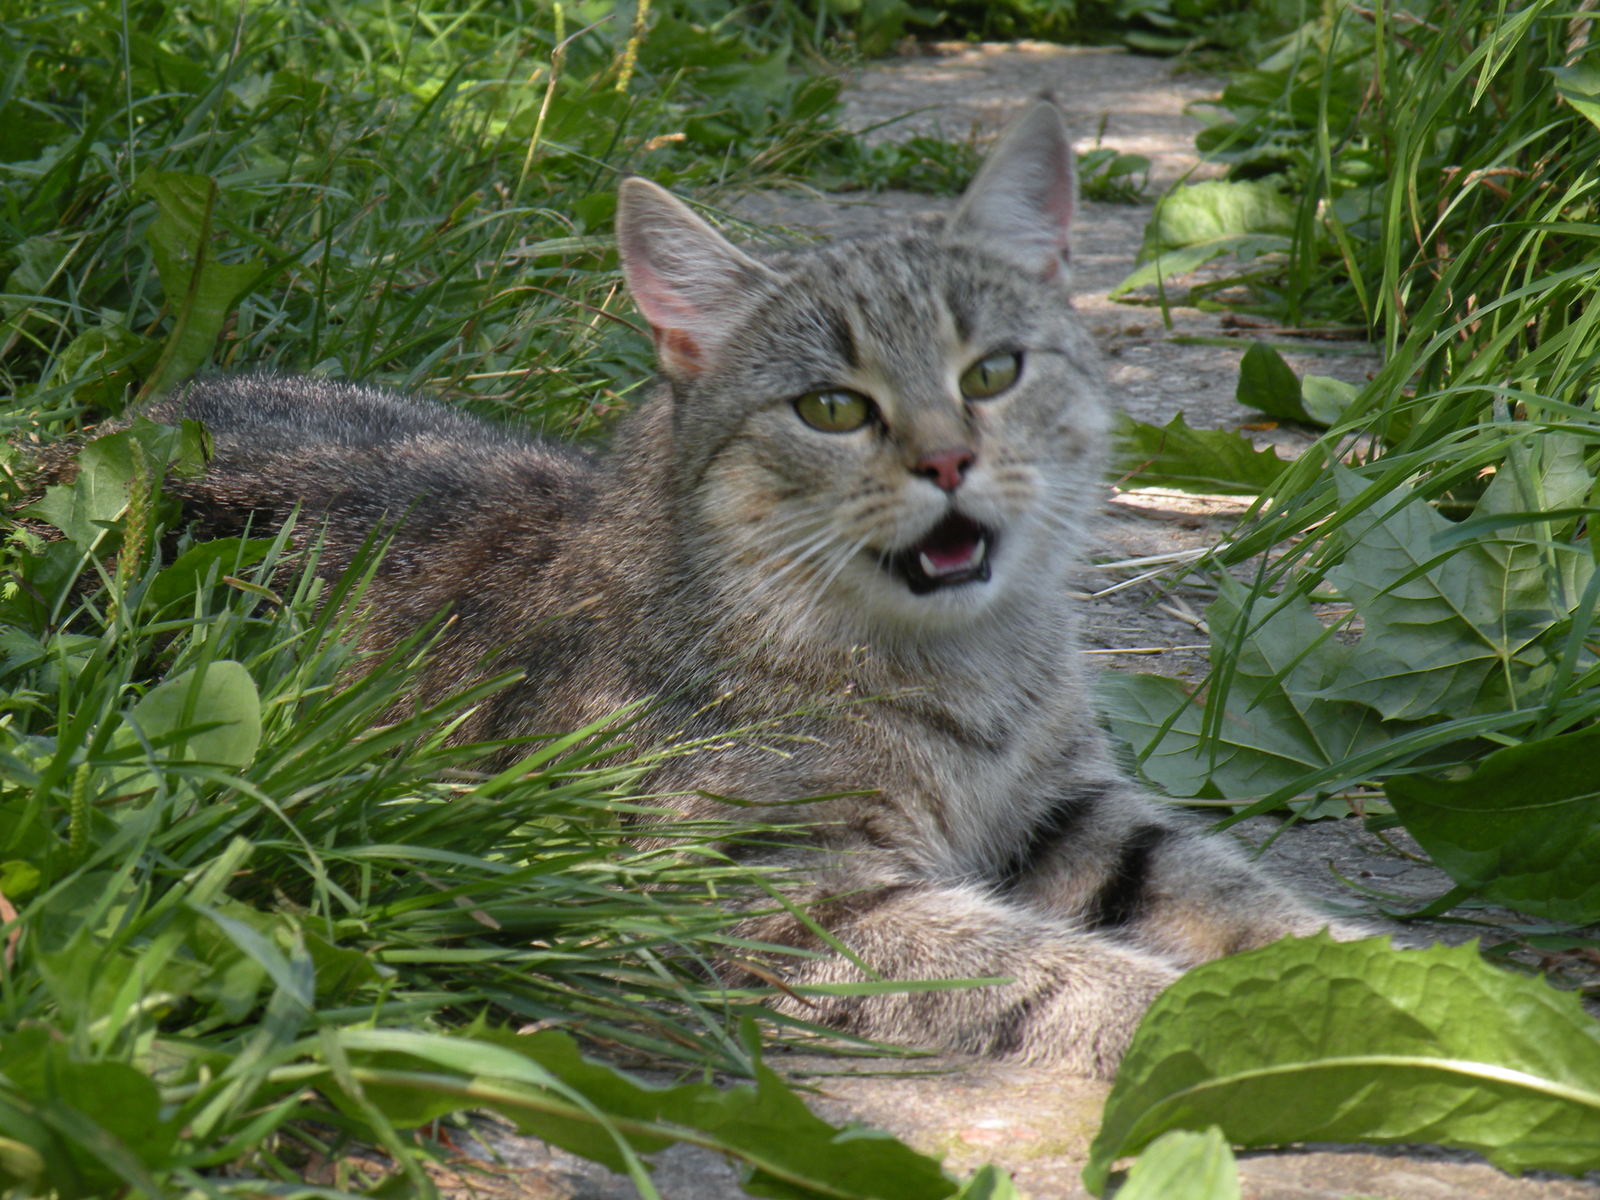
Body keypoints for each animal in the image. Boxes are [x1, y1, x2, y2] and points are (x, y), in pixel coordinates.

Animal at [62, 101, 1350, 1081]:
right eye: (831, 407)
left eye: (992, 374)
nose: (946, 460)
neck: (962, 667)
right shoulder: (768, 890)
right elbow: (1049, 970)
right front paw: (1268, 1021)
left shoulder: (1073, 806)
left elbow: (1234, 897)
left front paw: (1367, 971)